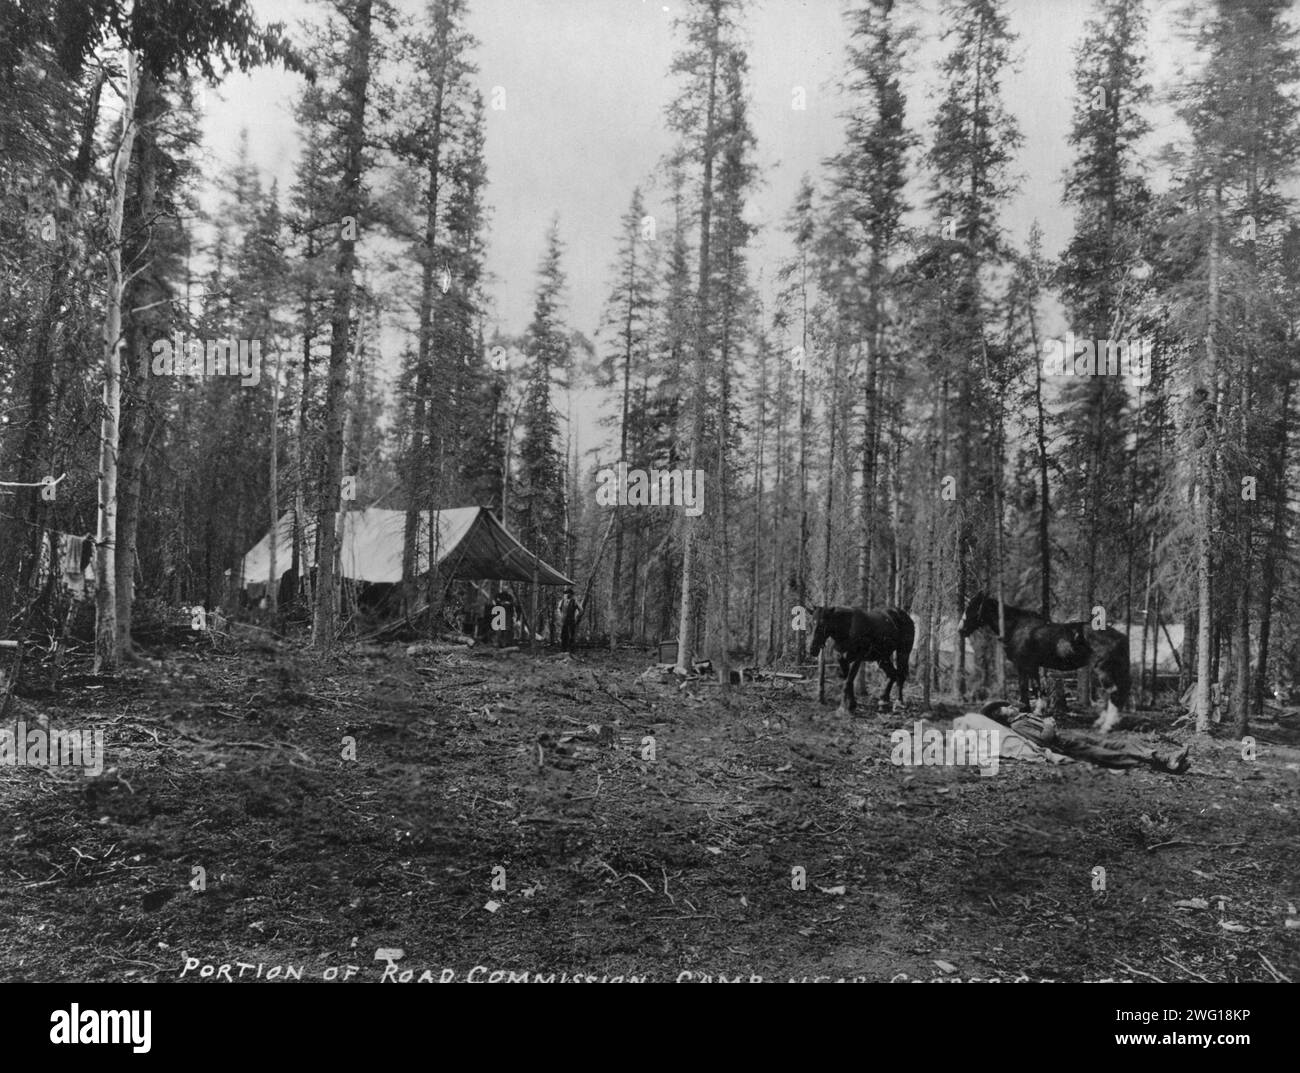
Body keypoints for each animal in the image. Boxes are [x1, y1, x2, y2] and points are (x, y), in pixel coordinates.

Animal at [956, 595, 1128, 717]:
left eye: (972, 608)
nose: (960, 630)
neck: (1017, 627)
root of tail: (1120, 635)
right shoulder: (1032, 666)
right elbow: (1034, 687)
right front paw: (1031, 709)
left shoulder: (1024, 665)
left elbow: (1027, 687)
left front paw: (1031, 710)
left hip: (1105, 670)